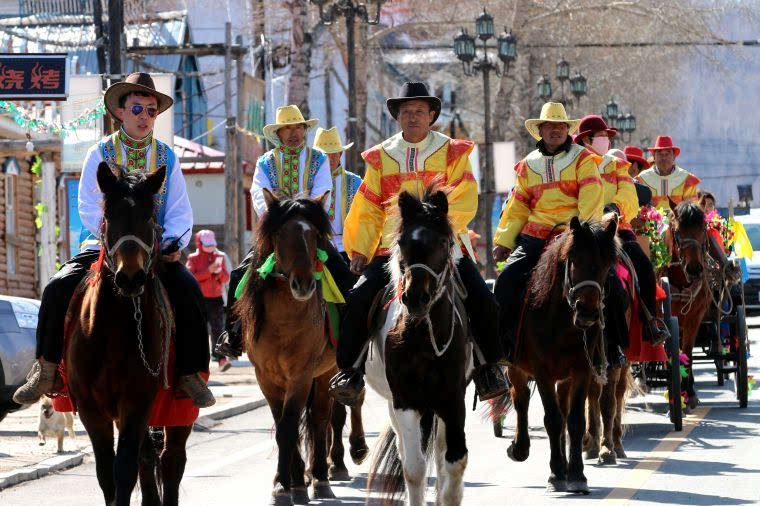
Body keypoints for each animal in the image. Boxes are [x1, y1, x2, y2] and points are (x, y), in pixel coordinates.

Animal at [66, 163, 190, 506]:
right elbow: (107, 472)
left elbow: (124, 468)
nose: (131, 277)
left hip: (179, 410)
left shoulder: (136, 401)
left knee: (171, 460)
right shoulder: (91, 409)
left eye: (150, 216)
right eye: (109, 215)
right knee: (148, 458)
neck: (113, 330)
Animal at [236, 190, 346, 506]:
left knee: (321, 419)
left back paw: (321, 478)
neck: (284, 319)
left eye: (314, 236)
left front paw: (286, 486)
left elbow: (289, 426)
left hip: (324, 373)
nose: (304, 283)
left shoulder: (301, 375)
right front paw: (289, 484)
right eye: (280, 234)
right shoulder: (266, 377)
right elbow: (283, 425)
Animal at [502, 216, 620, 494]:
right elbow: (552, 419)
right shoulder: (542, 371)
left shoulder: (581, 370)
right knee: (520, 398)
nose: (587, 312)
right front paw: (555, 474)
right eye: (574, 258)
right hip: (516, 367)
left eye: (608, 264)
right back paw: (520, 448)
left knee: (564, 410)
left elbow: (574, 420)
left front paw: (576, 474)